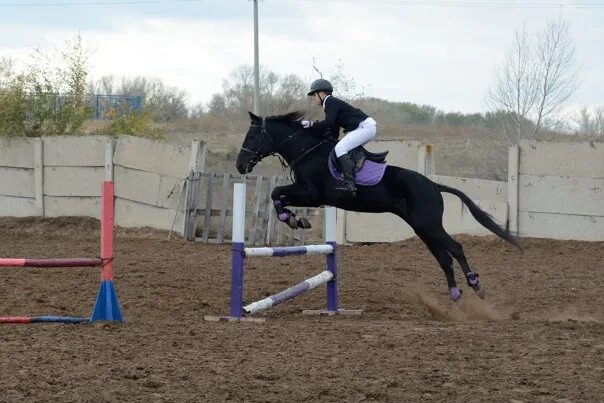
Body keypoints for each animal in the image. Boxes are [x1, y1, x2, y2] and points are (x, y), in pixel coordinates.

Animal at [236, 110, 520, 300]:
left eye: (252, 135)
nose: (240, 166)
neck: (307, 150)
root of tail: (433, 185)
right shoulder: (308, 195)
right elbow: (278, 196)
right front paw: (295, 219)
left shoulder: (311, 194)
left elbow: (277, 193)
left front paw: (293, 219)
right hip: (423, 228)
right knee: (443, 256)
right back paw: (454, 293)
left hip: (428, 224)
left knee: (456, 248)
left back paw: (475, 285)